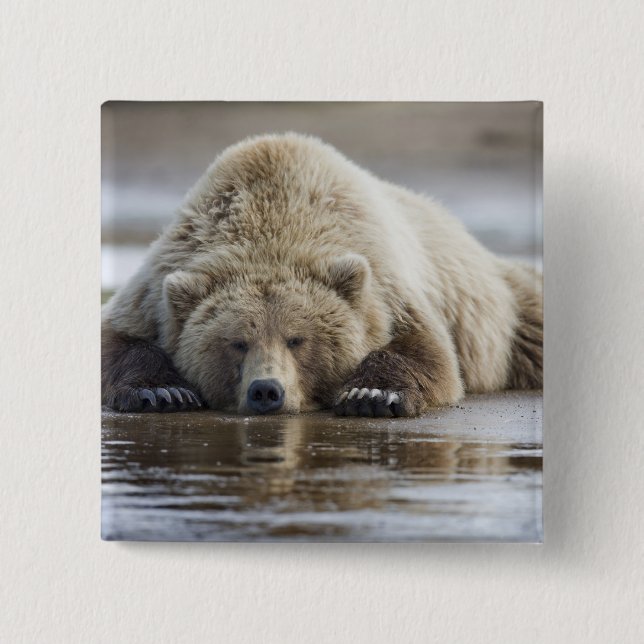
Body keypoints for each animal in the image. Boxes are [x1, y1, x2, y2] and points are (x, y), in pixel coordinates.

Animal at [102, 133, 542, 417]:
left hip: (507, 307)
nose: (266, 391)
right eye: (237, 342)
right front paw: (163, 391)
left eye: (297, 339)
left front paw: (372, 395)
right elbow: (118, 338)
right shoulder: (160, 280)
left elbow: (427, 351)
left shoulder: (385, 283)